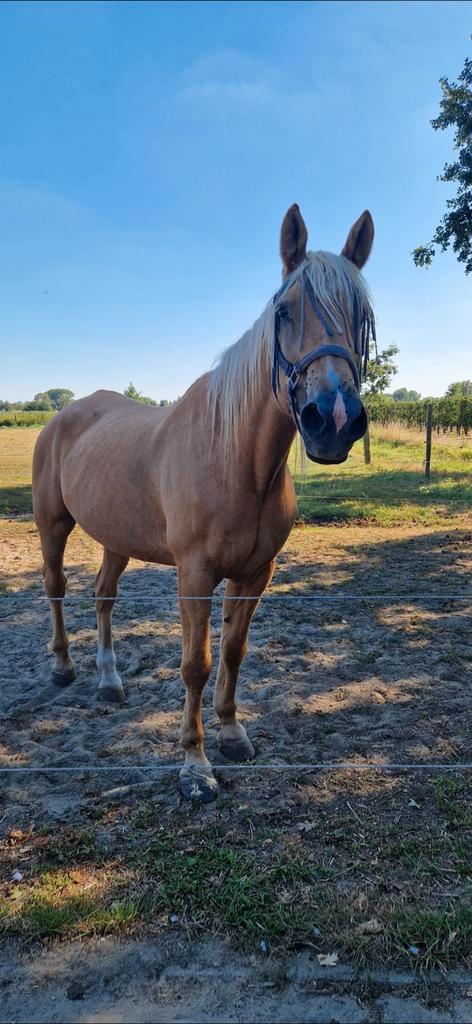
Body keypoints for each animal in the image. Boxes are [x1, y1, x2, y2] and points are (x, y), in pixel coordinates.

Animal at [33, 204, 375, 802]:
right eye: (283, 312)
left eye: (361, 318)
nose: (333, 418)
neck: (235, 458)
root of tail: (65, 414)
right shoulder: (194, 575)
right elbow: (196, 662)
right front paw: (195, 766)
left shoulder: (255, 573)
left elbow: (234, 652)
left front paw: (233, 734)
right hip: (53, 524)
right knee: (56, 589)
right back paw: (63, 668)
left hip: (116, 538)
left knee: (103, 597)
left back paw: (109, 680)